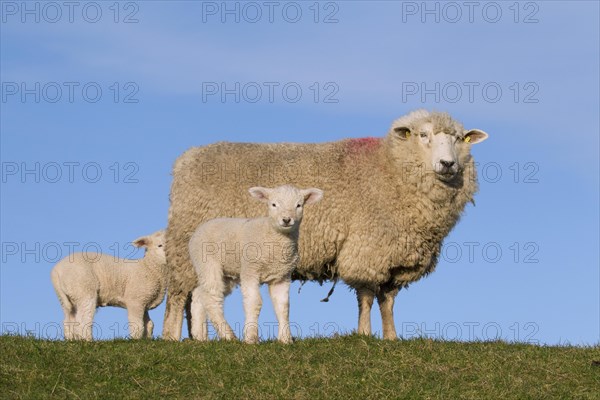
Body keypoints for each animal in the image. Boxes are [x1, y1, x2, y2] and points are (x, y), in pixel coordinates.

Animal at [191, 184, 324, 344]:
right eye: (273, 204)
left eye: (299, 205)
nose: (286, 219)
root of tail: (199, 229)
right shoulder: (250, 270)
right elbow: (254, 302)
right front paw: (251, 338)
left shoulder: (282, 276)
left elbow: (283, 306)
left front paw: (285, 339)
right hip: (207, 263)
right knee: (212, 297)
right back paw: (228, 336)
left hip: (227, 273)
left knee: (200, 294)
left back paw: (199, 336)